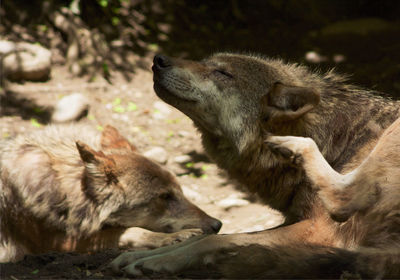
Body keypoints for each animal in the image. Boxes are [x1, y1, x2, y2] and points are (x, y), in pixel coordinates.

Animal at [0, 124, 222, 262]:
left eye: (180, 192)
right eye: (165, 197)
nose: (217, 224)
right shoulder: (56, 242)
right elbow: (130, 231)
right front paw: (177, 236)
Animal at [111, 52, 400, 278]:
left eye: (223, 73)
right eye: (205, 62)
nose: (158, 60)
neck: (339, 141)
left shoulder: (320, 229)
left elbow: (216, 239)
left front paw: (158, 261)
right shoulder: (298, 219)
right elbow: (212, 236)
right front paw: (138, 256)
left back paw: (296, 145)